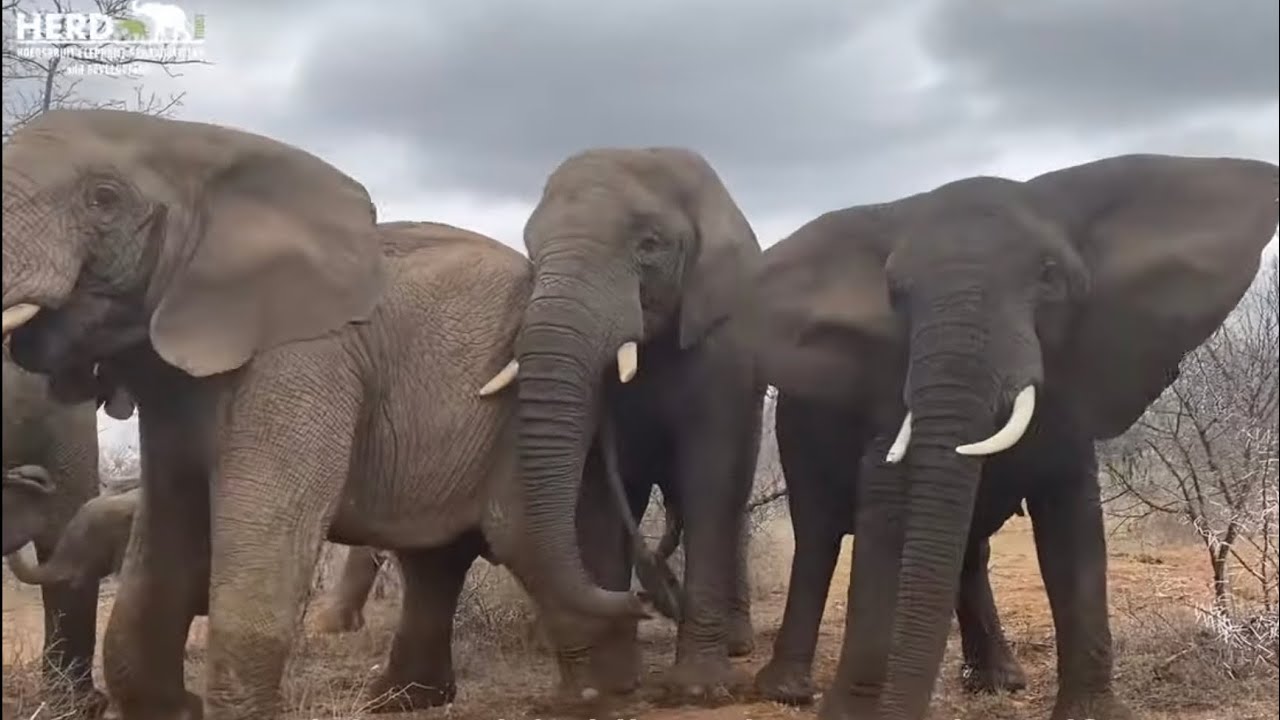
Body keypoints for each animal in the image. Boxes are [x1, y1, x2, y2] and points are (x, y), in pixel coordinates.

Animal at [475, 147, 766, 698]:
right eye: (532, 250)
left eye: (649, 245)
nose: (647, 601)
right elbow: (604, 496)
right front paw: (616, 683)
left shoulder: (724, 353)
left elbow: (710, 480)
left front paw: (696, 691)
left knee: (732, 506)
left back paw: (739, 644)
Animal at [751, 153, 1279, 720]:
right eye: (895, 294)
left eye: (1049, 275)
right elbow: (887, 514)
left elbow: (1072, 526)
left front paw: (1091, 714)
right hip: (794, 430)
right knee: (818, 535)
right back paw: (785, 691)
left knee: (968, 547)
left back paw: (1000, 681)